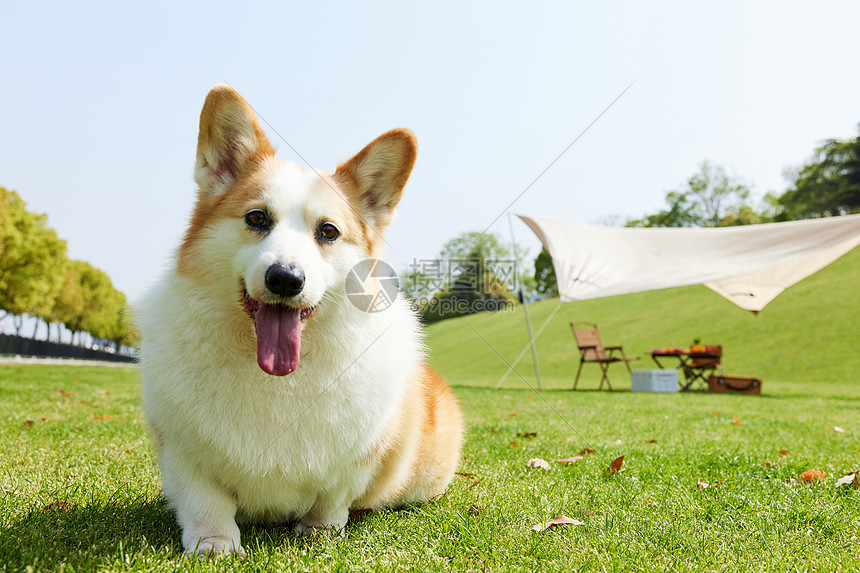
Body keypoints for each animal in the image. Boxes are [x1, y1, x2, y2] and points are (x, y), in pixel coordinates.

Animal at [139, 85, 464, 556]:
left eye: (328, 231)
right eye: (256, 218)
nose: (285, 279)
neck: (277, 377)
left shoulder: (357, 459)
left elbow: (334, 495)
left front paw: (319, 529)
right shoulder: (184, 450)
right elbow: (205, 500)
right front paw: (214, 543)